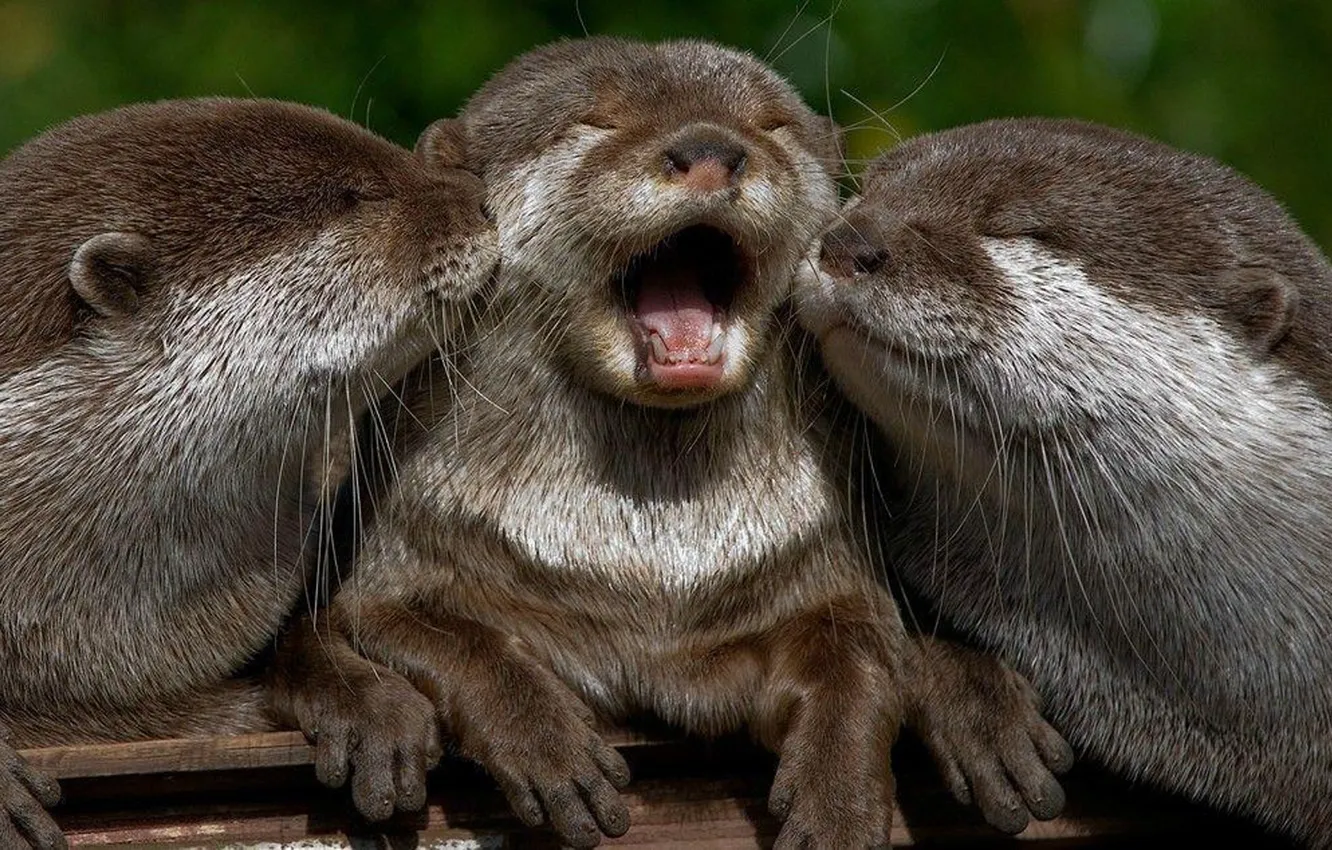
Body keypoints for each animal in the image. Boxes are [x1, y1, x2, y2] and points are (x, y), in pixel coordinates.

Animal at [272, 40, 1071, 847]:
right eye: (594, 121)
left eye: (771, 125)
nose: (712, 149)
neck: (649, 577)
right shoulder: (405, 550)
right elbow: (443, 636)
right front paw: (546, 744)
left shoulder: (821, 567)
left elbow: (861, 655)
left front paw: (838, 802)